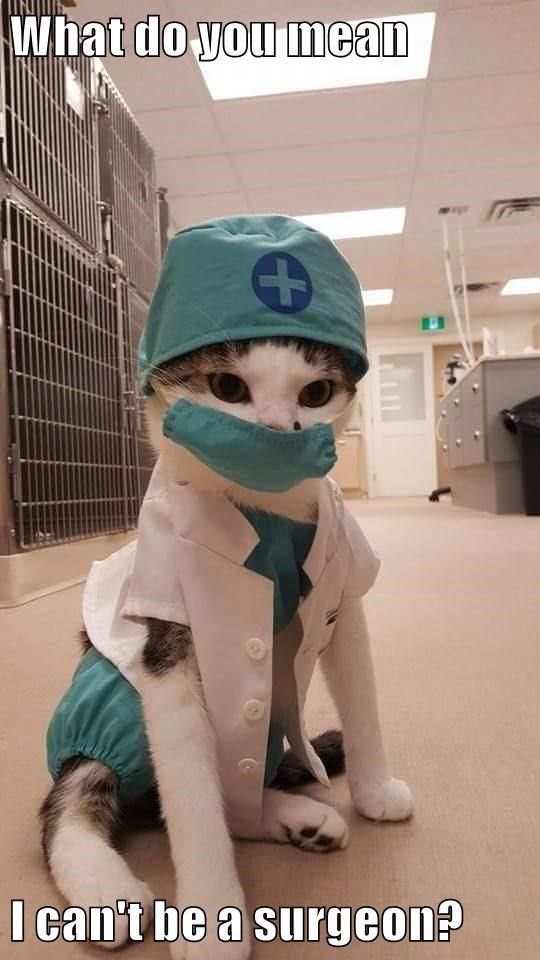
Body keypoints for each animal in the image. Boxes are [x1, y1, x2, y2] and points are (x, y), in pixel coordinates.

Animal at [41, 334, 414, 956]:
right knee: (76, 798)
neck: (269, 516)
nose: (279, 433)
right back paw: (104, 889)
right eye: (227, 387)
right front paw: (212, 921)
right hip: (110, 702)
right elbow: (192, 798)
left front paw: (375, 790)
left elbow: (361, 697)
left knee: (233, 795)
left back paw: (300, 820)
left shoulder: (344, 582)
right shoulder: (165, 635)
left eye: (316, 393)